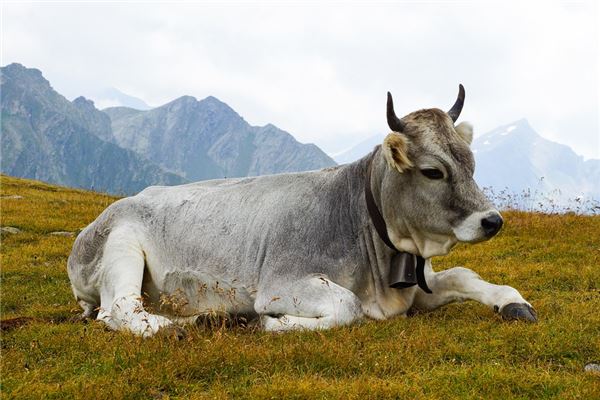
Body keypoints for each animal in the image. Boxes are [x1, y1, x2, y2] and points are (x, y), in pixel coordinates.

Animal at [68, 86, 536, 336]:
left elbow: (463, 275)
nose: (492, 220)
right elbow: (347, 307)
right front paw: (273, 324)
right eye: (432, 172)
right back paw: (184, 325)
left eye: (471, 163)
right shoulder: (282, 281)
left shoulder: (414, 287)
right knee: (119, 309)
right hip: (121, 247)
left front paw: (512, 301)